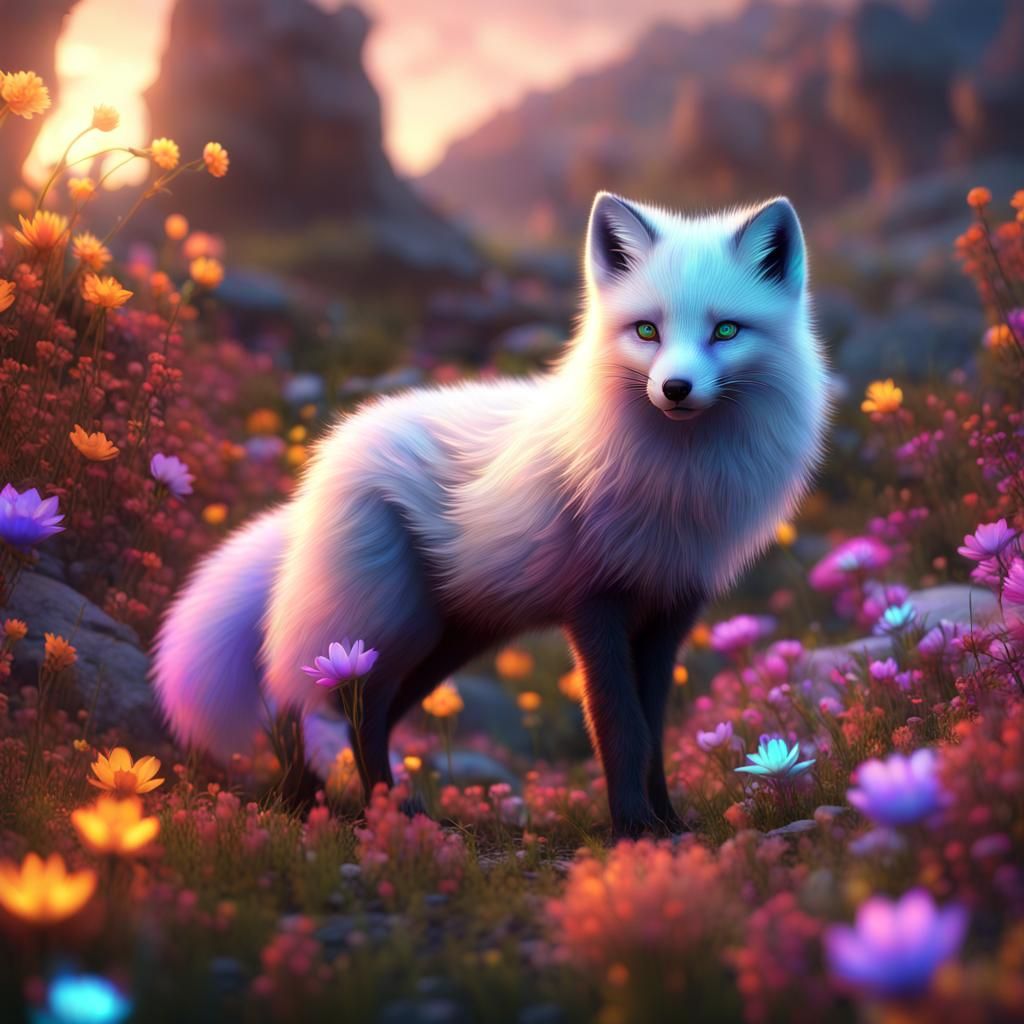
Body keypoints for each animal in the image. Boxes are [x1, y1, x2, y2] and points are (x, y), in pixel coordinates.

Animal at [153, 191, 829, 837]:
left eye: (726, 331)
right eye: (646, 331)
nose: (676, 389)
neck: (677, 485)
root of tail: (323, 464)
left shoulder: (670, 611)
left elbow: (653, 734)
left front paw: (666, 821)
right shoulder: (595, 605)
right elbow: (621, 727)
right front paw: (633, 829)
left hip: (444, 638)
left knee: (364, 715)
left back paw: (362, 806)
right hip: (382, 622)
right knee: (318, 701)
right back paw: (342, 806)